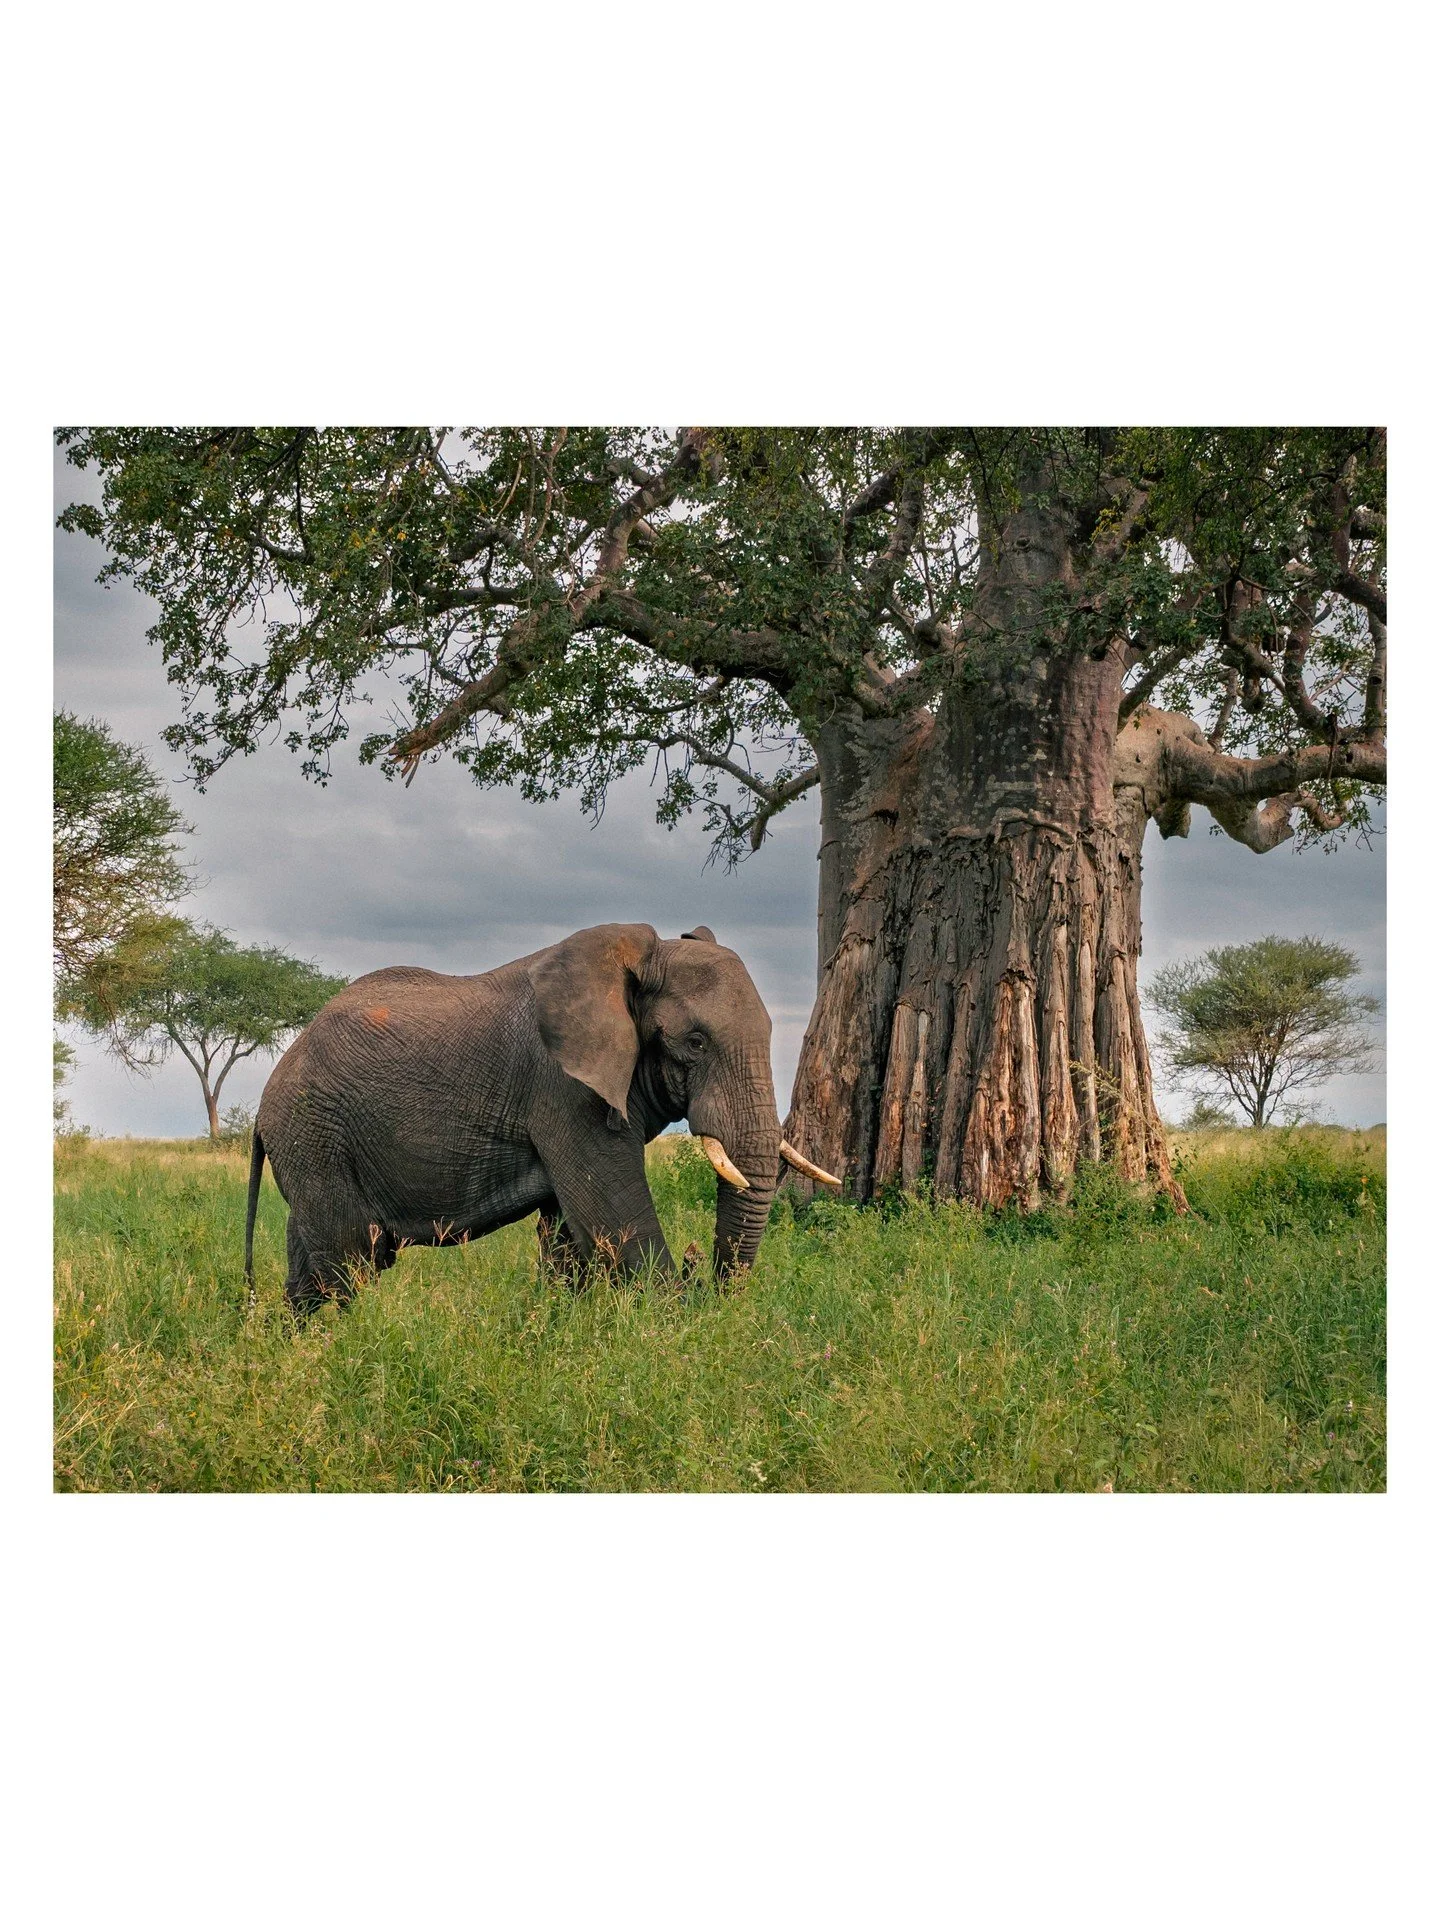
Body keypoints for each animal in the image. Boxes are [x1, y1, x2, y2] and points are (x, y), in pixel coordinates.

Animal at [243, 921, 838, 1316]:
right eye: (694, 1042)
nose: (704, 1277)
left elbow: (568, 1236)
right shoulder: (563, 1088)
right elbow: (615, 1216)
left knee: (311, 1264)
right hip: (314, 1133)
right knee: (348, 1261)